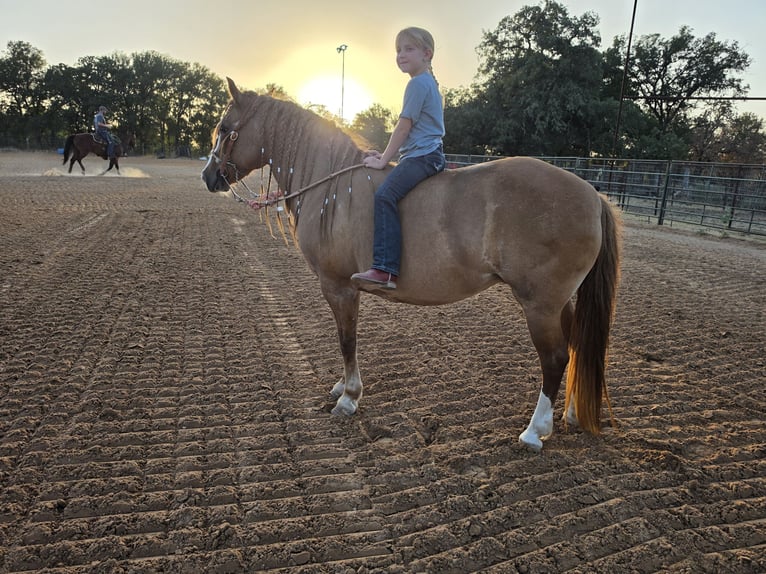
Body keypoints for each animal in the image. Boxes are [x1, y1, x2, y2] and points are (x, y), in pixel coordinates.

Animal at [201, 78, 622, 452]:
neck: (331, 189)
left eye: (225, 130)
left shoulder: (339, 286)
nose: (208, 176)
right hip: (559, 301)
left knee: (555, 358)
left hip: (540, 304)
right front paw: (341, 388)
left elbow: (346, 339)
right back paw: (568, 415)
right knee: (575, 346)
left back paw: (535, 431)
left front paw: (349, 397)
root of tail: (592, 194)